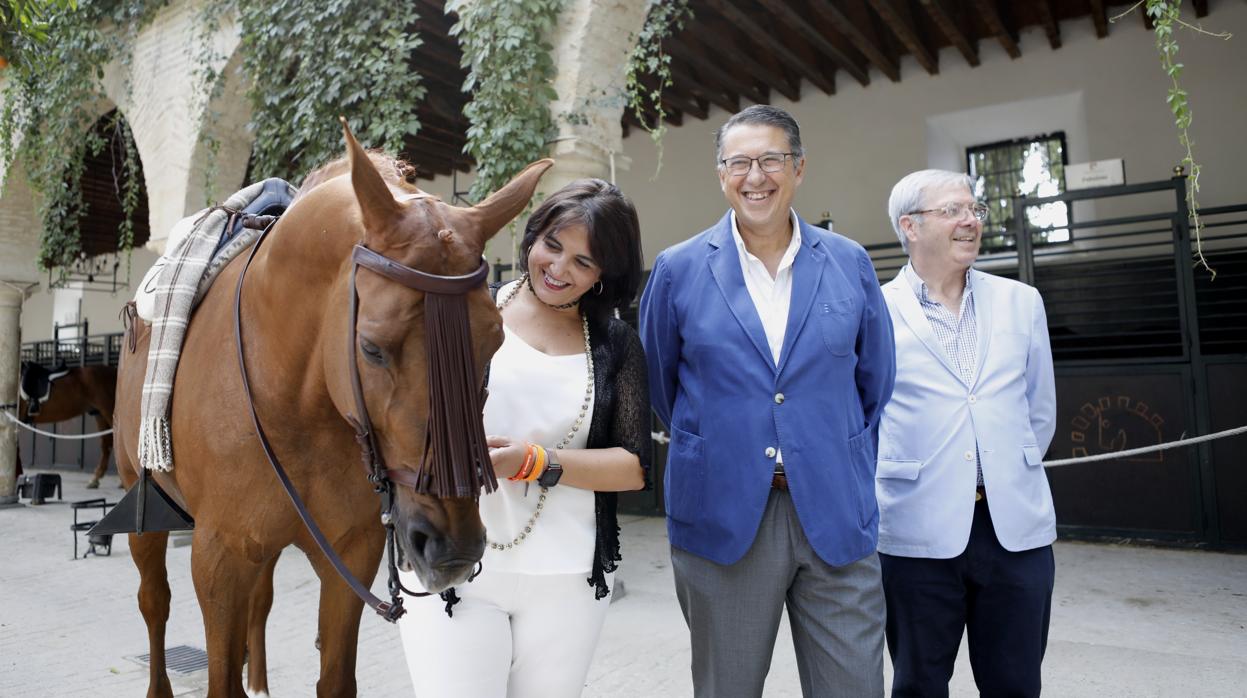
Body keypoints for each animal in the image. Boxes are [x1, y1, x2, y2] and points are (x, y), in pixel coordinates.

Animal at [110, 121, 551, 698]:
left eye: (494, 342)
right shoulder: (218, 558)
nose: (451, 546)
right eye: (371, 348)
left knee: (261, 600)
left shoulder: (350, 554)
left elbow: (334, 675)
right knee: (153, 603)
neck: (295, 402)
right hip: (142, 505)